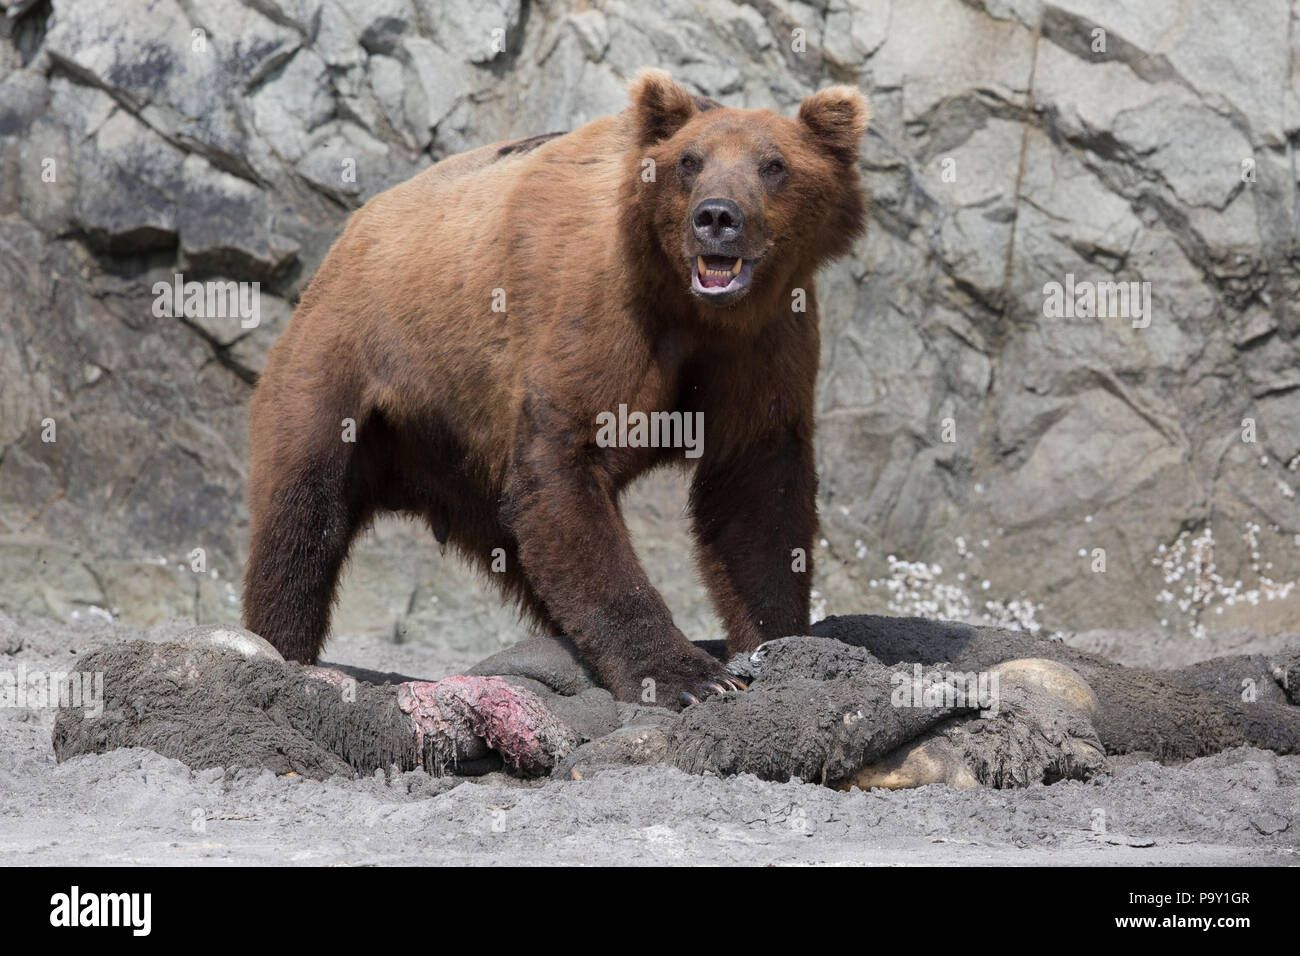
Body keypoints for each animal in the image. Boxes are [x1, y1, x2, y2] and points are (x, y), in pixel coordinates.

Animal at [244, 70, 873, 707]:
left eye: (774, 165)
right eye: (689, 162)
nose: (717, 216)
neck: (692, 307)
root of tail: (347, 236)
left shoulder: (764, 343)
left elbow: (756, 492)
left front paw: (776, 644)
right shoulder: (603, 313)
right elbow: (567, 459)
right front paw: (689, 676)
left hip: (466, 460)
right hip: (348, 364)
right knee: (302, 513)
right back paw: (281, 648)